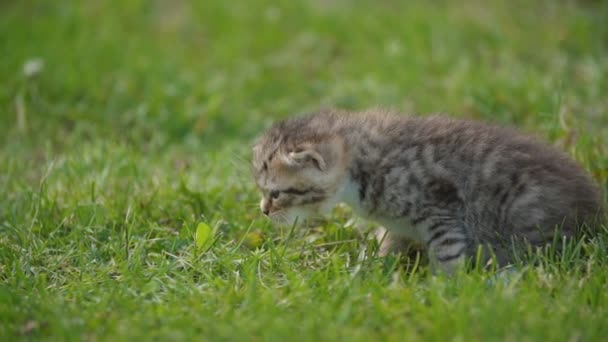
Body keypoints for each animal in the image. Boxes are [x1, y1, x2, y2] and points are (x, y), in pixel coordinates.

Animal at [252, 109, 604, 272]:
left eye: (276, 193)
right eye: (263, 191)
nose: (263, 211)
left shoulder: (440, 209)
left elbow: (447, 255)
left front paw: (442, 289)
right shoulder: (397, 222)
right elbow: (390, 241)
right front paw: (375, 267)